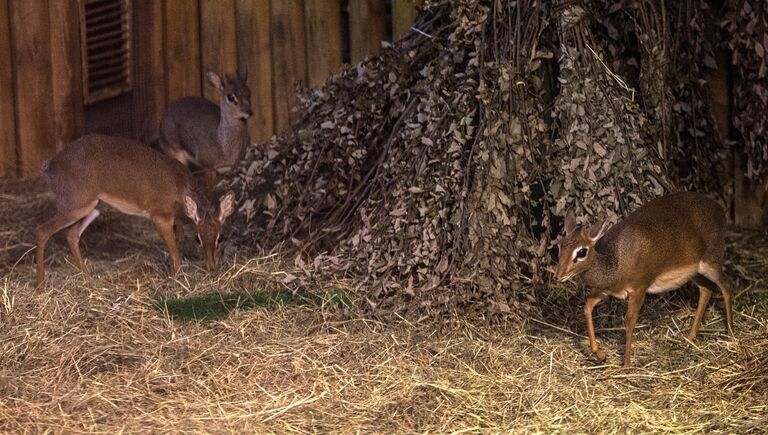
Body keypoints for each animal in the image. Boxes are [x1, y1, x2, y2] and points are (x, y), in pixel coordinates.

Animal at [36, 135, 234, 288]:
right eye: (198, 238)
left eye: (221, 237)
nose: (211, 267)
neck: (181, 189)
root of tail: (50, 165)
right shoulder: (160, 216)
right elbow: (175, 254)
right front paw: (178, 280)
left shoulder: (176, 221)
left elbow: (178, 244)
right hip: (76, 205)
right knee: (42, 230)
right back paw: (41, 285)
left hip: (95, 207)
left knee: (71, 235)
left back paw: (88, 278)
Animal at [556, 193, 736, 368]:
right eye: (560, 245)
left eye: (581, 252)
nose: (558, 275)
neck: (616, 262)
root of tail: (720, 209)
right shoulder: (606, 291)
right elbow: (587, 307)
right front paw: (600, 355)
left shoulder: (639, 289)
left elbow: (630, 321)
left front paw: (626, 366)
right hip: (694, 272)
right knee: (707, 289)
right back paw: (689, 338)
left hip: (710, 262)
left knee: (727, 284)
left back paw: (731, 336)